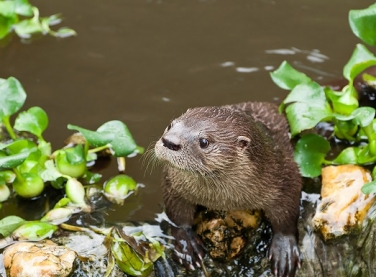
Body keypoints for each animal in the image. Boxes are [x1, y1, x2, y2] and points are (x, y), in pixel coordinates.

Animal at [154, 101, 302, 276]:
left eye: (204, 141)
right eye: (171, 125)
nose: (169, 141)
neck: (223, 200)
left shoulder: (285, 174)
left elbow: (287, 215)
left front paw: (284, 250)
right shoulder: (172, 181)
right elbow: (177, 216)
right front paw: (186, 244)